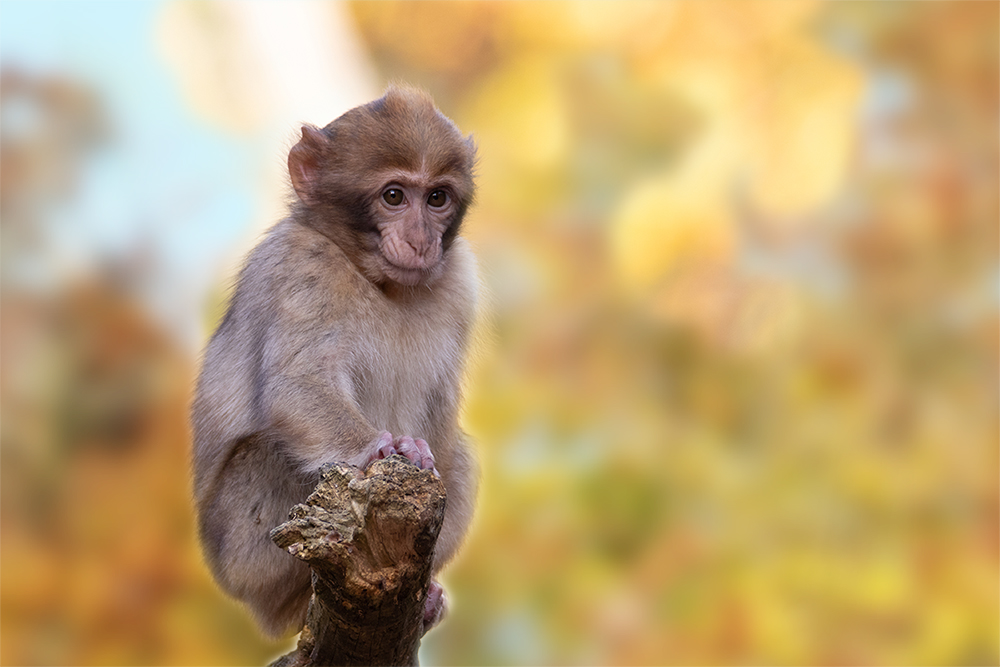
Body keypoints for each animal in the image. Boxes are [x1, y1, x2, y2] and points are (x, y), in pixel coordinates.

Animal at [194, 86, 480, 640]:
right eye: (394, 196)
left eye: (437, 198)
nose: (421, 240)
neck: (378, 280)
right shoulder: (302, 269)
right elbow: (299, 384)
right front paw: (384, 449)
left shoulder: (459, 282)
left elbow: (441, 421)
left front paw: (418, 449)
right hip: (244, 554)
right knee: (269, 452)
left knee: (459, 459)